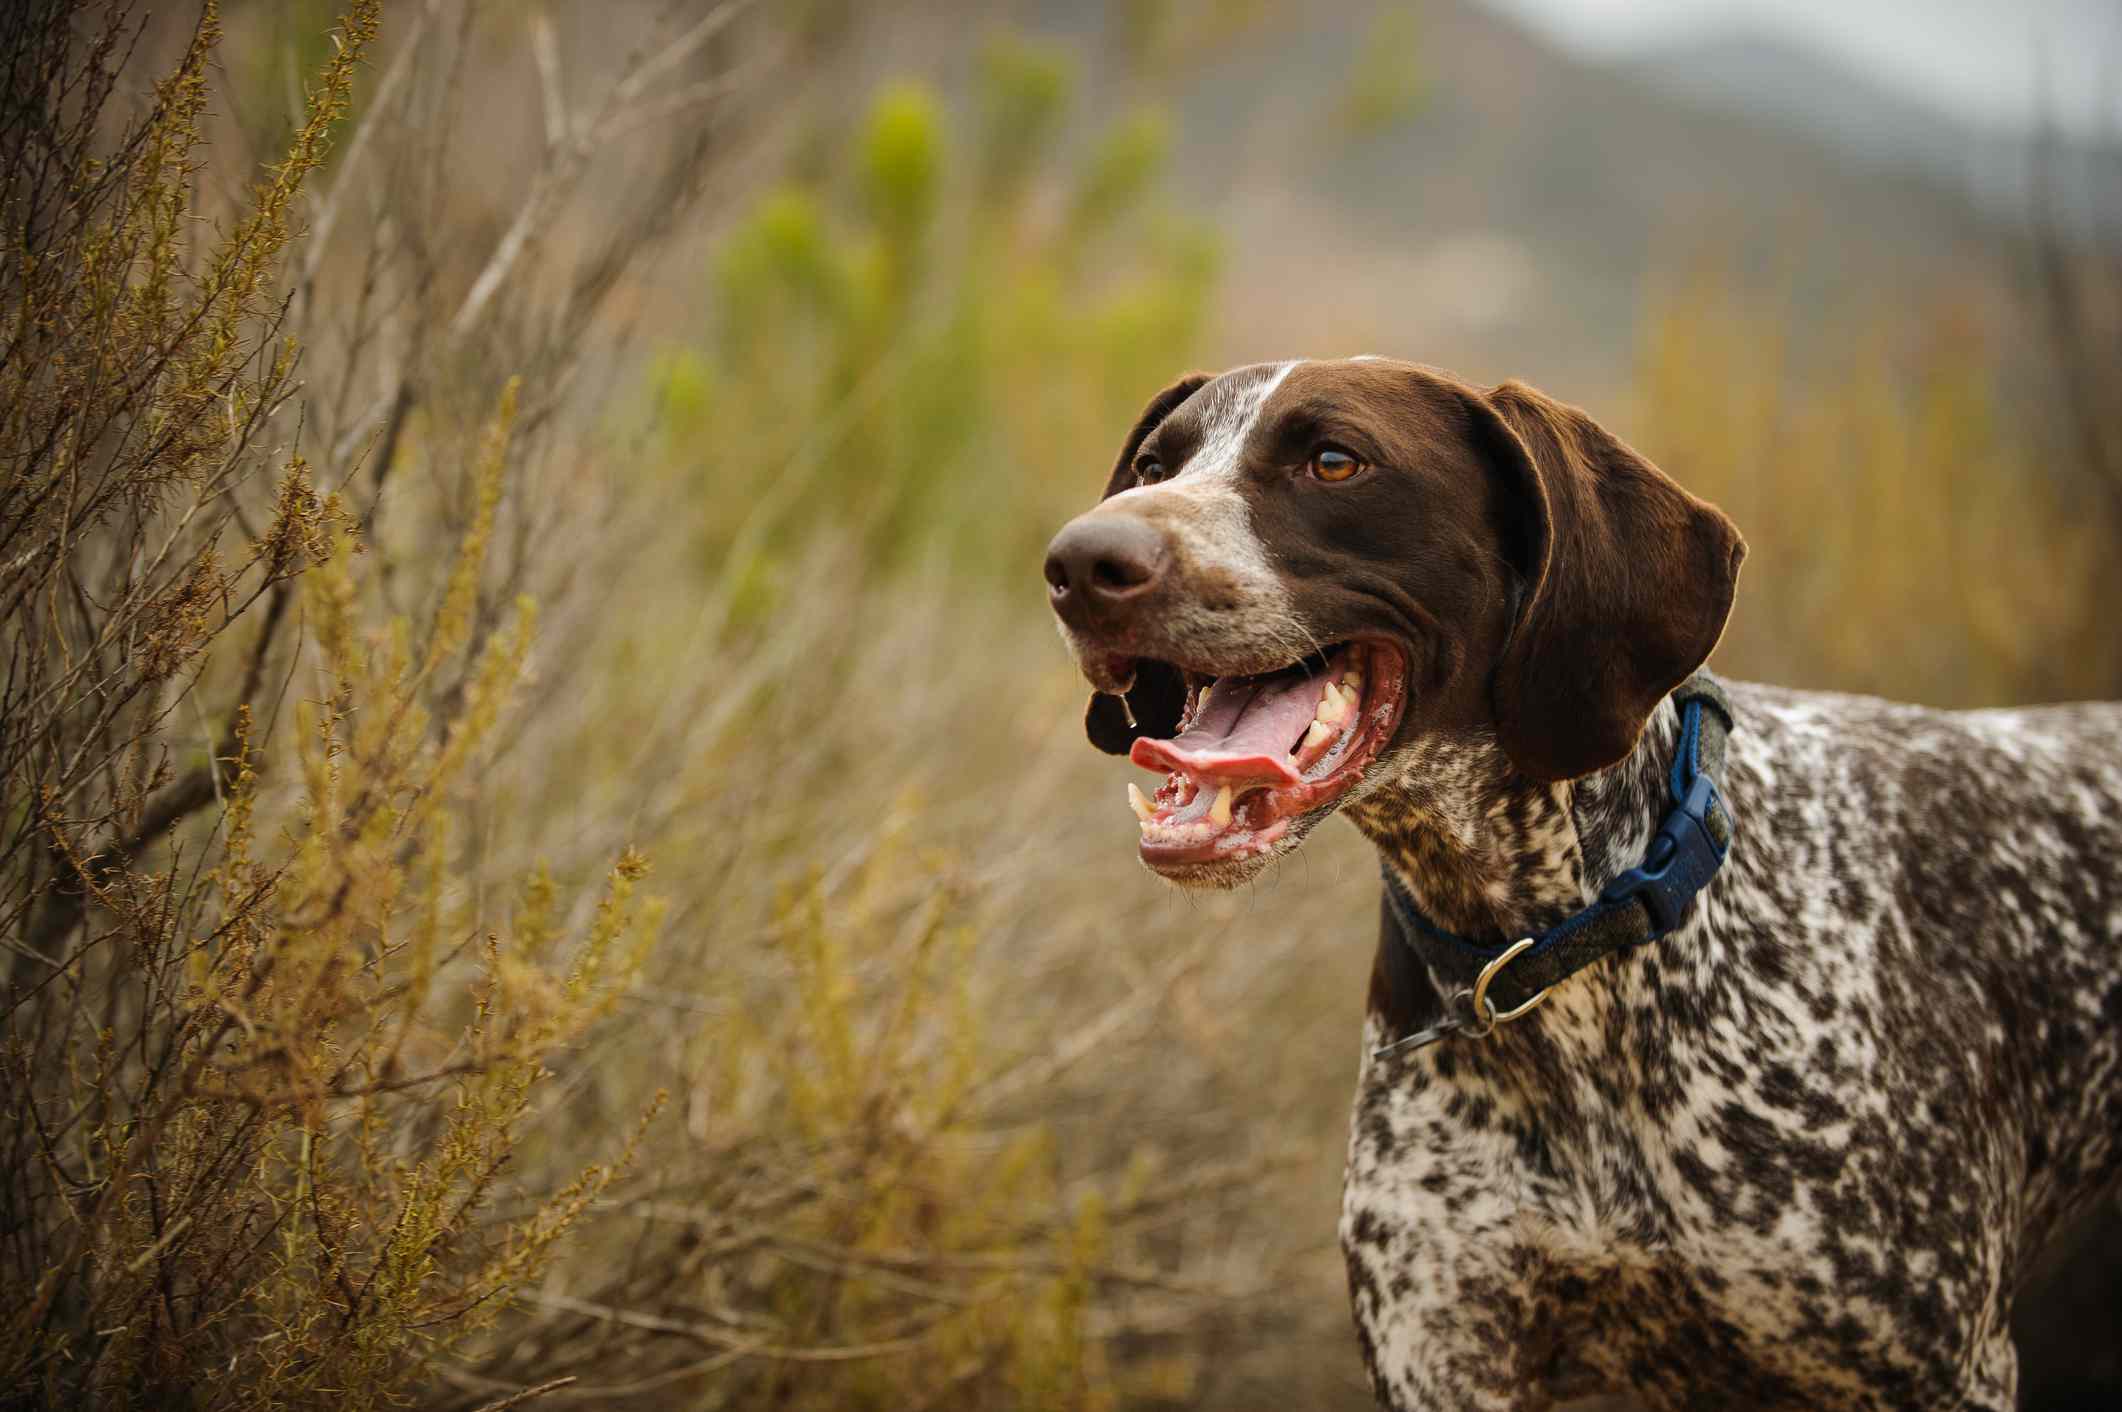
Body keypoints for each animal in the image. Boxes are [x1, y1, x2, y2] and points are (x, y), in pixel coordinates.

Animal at [1039, 358, 2122, 1401]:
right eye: (1152, 465)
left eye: (1334, 461)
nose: (1078, 564)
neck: (1550, 953)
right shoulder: (1444, 1355)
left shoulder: (1938, 1366)